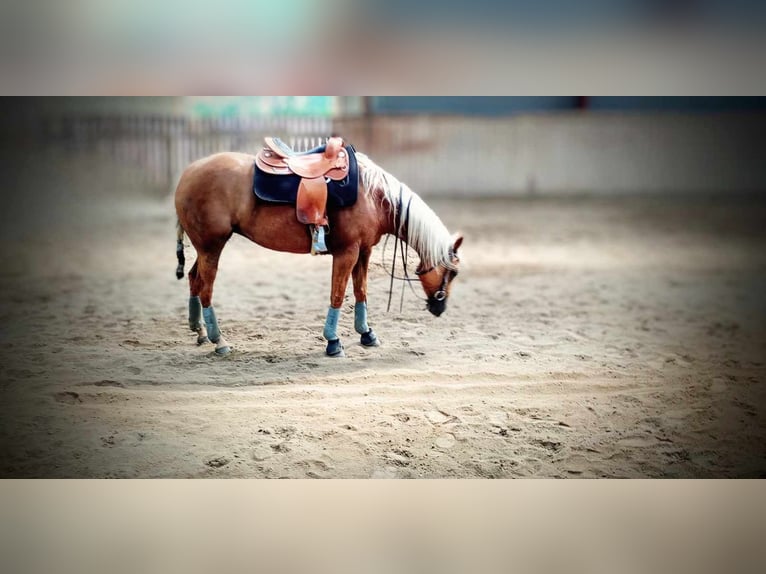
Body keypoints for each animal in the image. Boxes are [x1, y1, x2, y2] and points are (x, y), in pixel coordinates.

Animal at [174, 145, 462, 356]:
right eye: (454, 273)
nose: (441, 307)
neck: (374, 196)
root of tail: (188, 173)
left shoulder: (364, 251)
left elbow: (361, 292)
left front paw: (367, 333)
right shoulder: (347, 252)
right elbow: (338, 295)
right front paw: (333, 342)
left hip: (205, 249)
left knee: (194, 279)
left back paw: (199, 331)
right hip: (212, 247)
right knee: (206, 289)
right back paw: (219, 341)